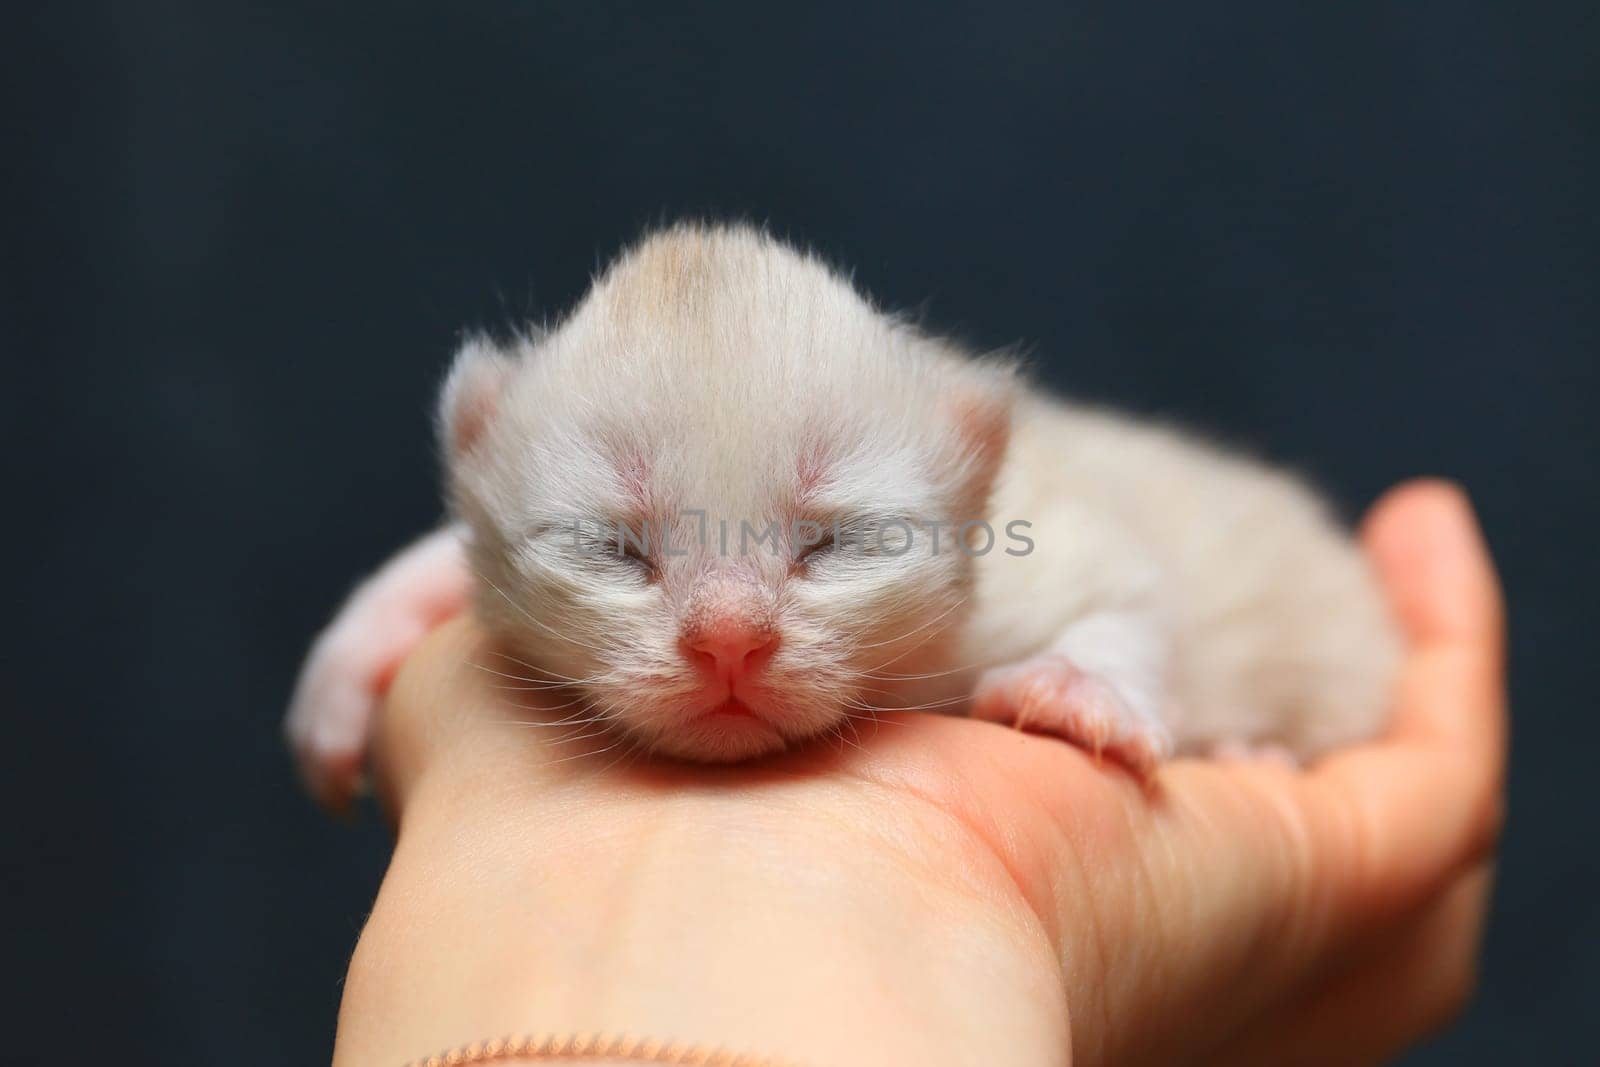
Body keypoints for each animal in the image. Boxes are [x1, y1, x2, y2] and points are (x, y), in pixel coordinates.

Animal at [288, 223, 1401, 809]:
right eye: (613, 546)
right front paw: (349, 660)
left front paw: (1081, 688)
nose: (728, 641)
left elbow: (1132, 599)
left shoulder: (1049, 544)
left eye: (835, 543)